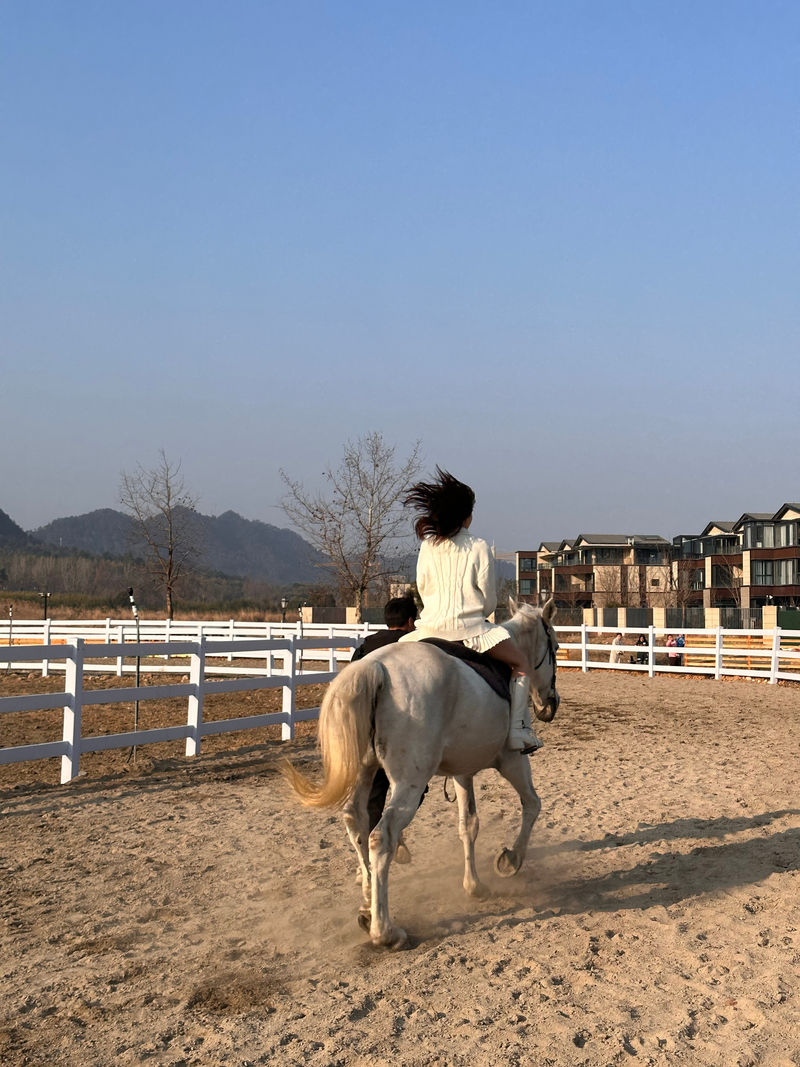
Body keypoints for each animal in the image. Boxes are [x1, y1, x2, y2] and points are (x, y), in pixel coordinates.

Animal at [285, 601, 558, 951]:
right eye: (555, 648)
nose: (550, 705)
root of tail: (375, 668)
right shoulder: (512, 761)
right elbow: (532, 804)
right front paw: (510, 861)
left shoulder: (462, 771)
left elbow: (469, 825)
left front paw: (474, 886)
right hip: (410, 784)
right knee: (381, 836)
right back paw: (385, 932)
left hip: (366, 772)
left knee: (356, 821)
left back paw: (367, 907)